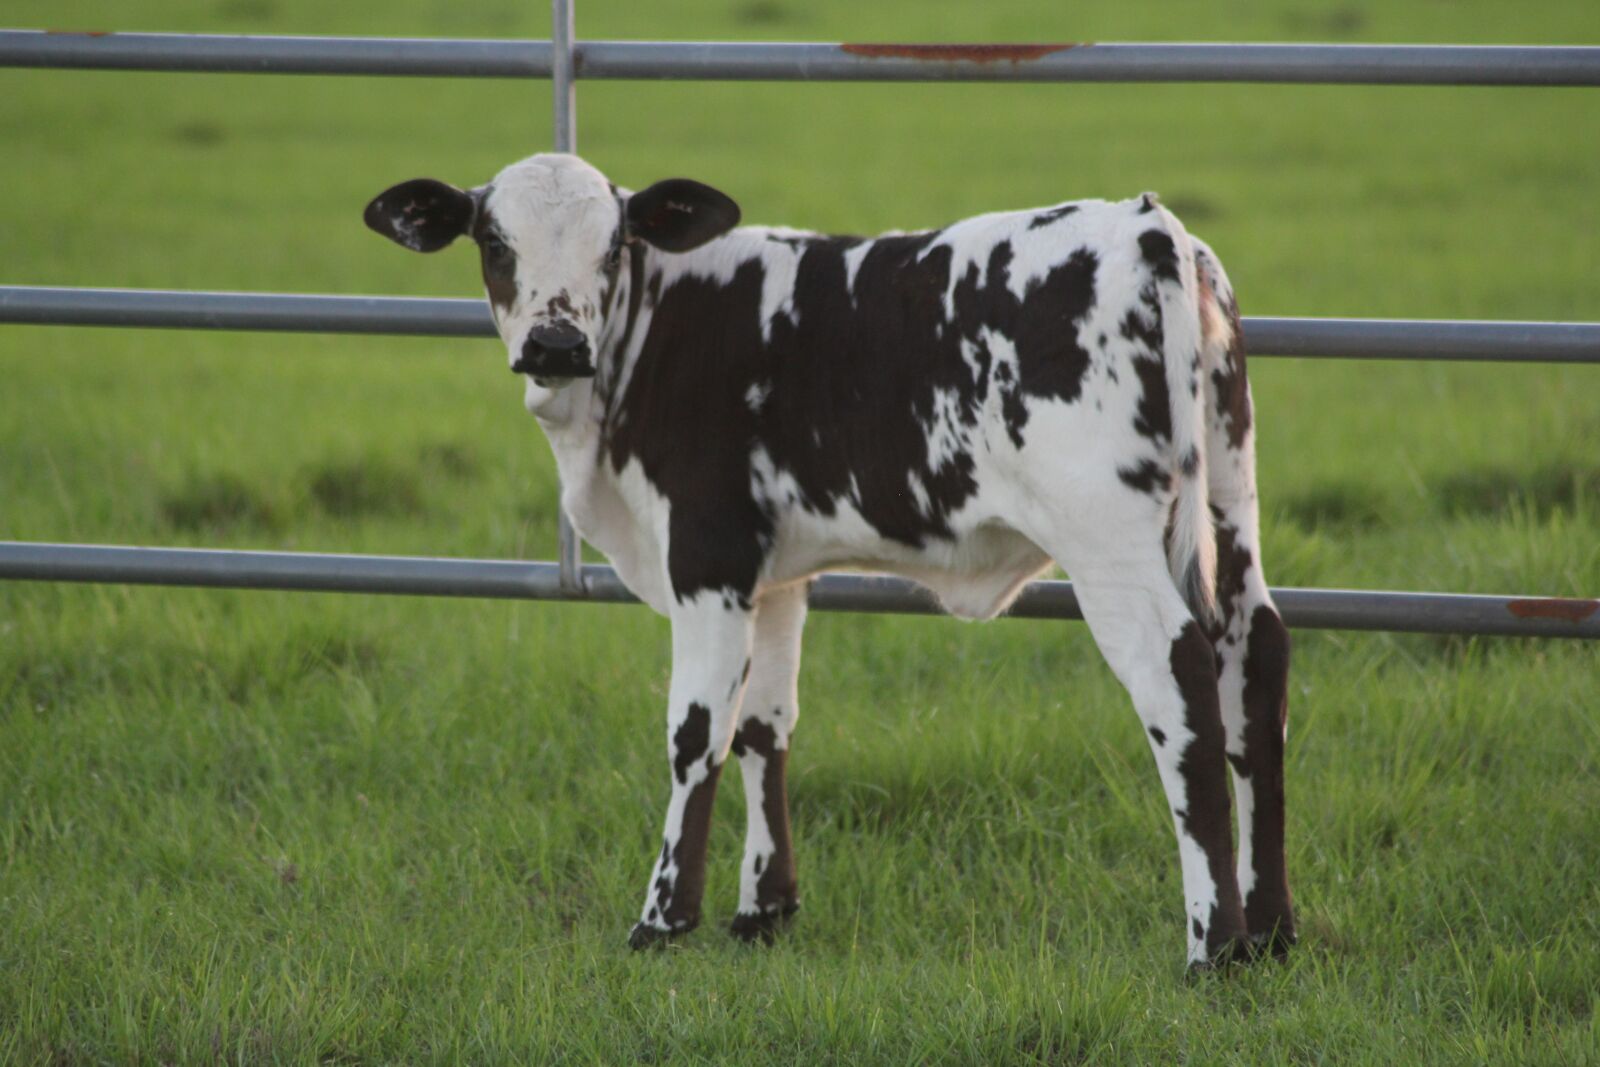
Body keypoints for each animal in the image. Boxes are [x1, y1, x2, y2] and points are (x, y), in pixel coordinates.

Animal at [364, 152, 1293, 971]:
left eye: (615, 241)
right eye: (494, 241)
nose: (555, 344)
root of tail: (1145, 222)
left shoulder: (707, 557)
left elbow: (696, 732)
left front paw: (663, 920)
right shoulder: (775, 575)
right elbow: (763, 725)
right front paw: (762, 911)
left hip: (1109, 542)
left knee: (1179, 681)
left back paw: (1212, 948)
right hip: (1231, 503)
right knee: (1256, 664)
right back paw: (1271, 934)